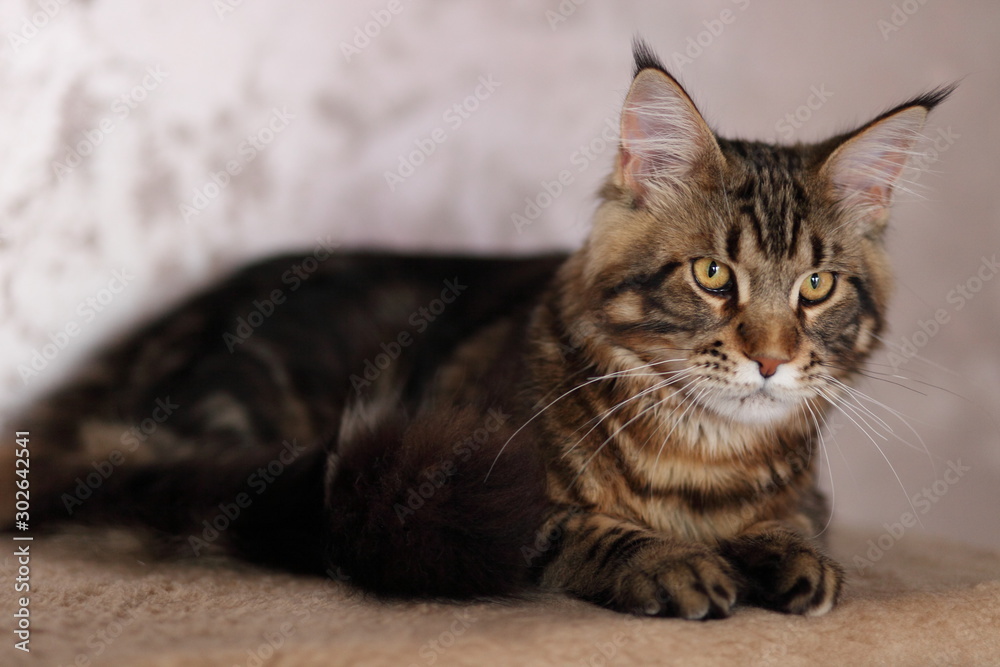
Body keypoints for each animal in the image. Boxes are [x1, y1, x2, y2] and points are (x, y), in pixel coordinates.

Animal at [7, 41, 948, 620]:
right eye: (713, 275)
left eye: (816, 287)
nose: (771, 358)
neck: (701, 458)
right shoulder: (481, 476)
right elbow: (585, 528)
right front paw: (672, 561)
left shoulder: (803, 492)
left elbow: (794, 524)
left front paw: (790, 559)